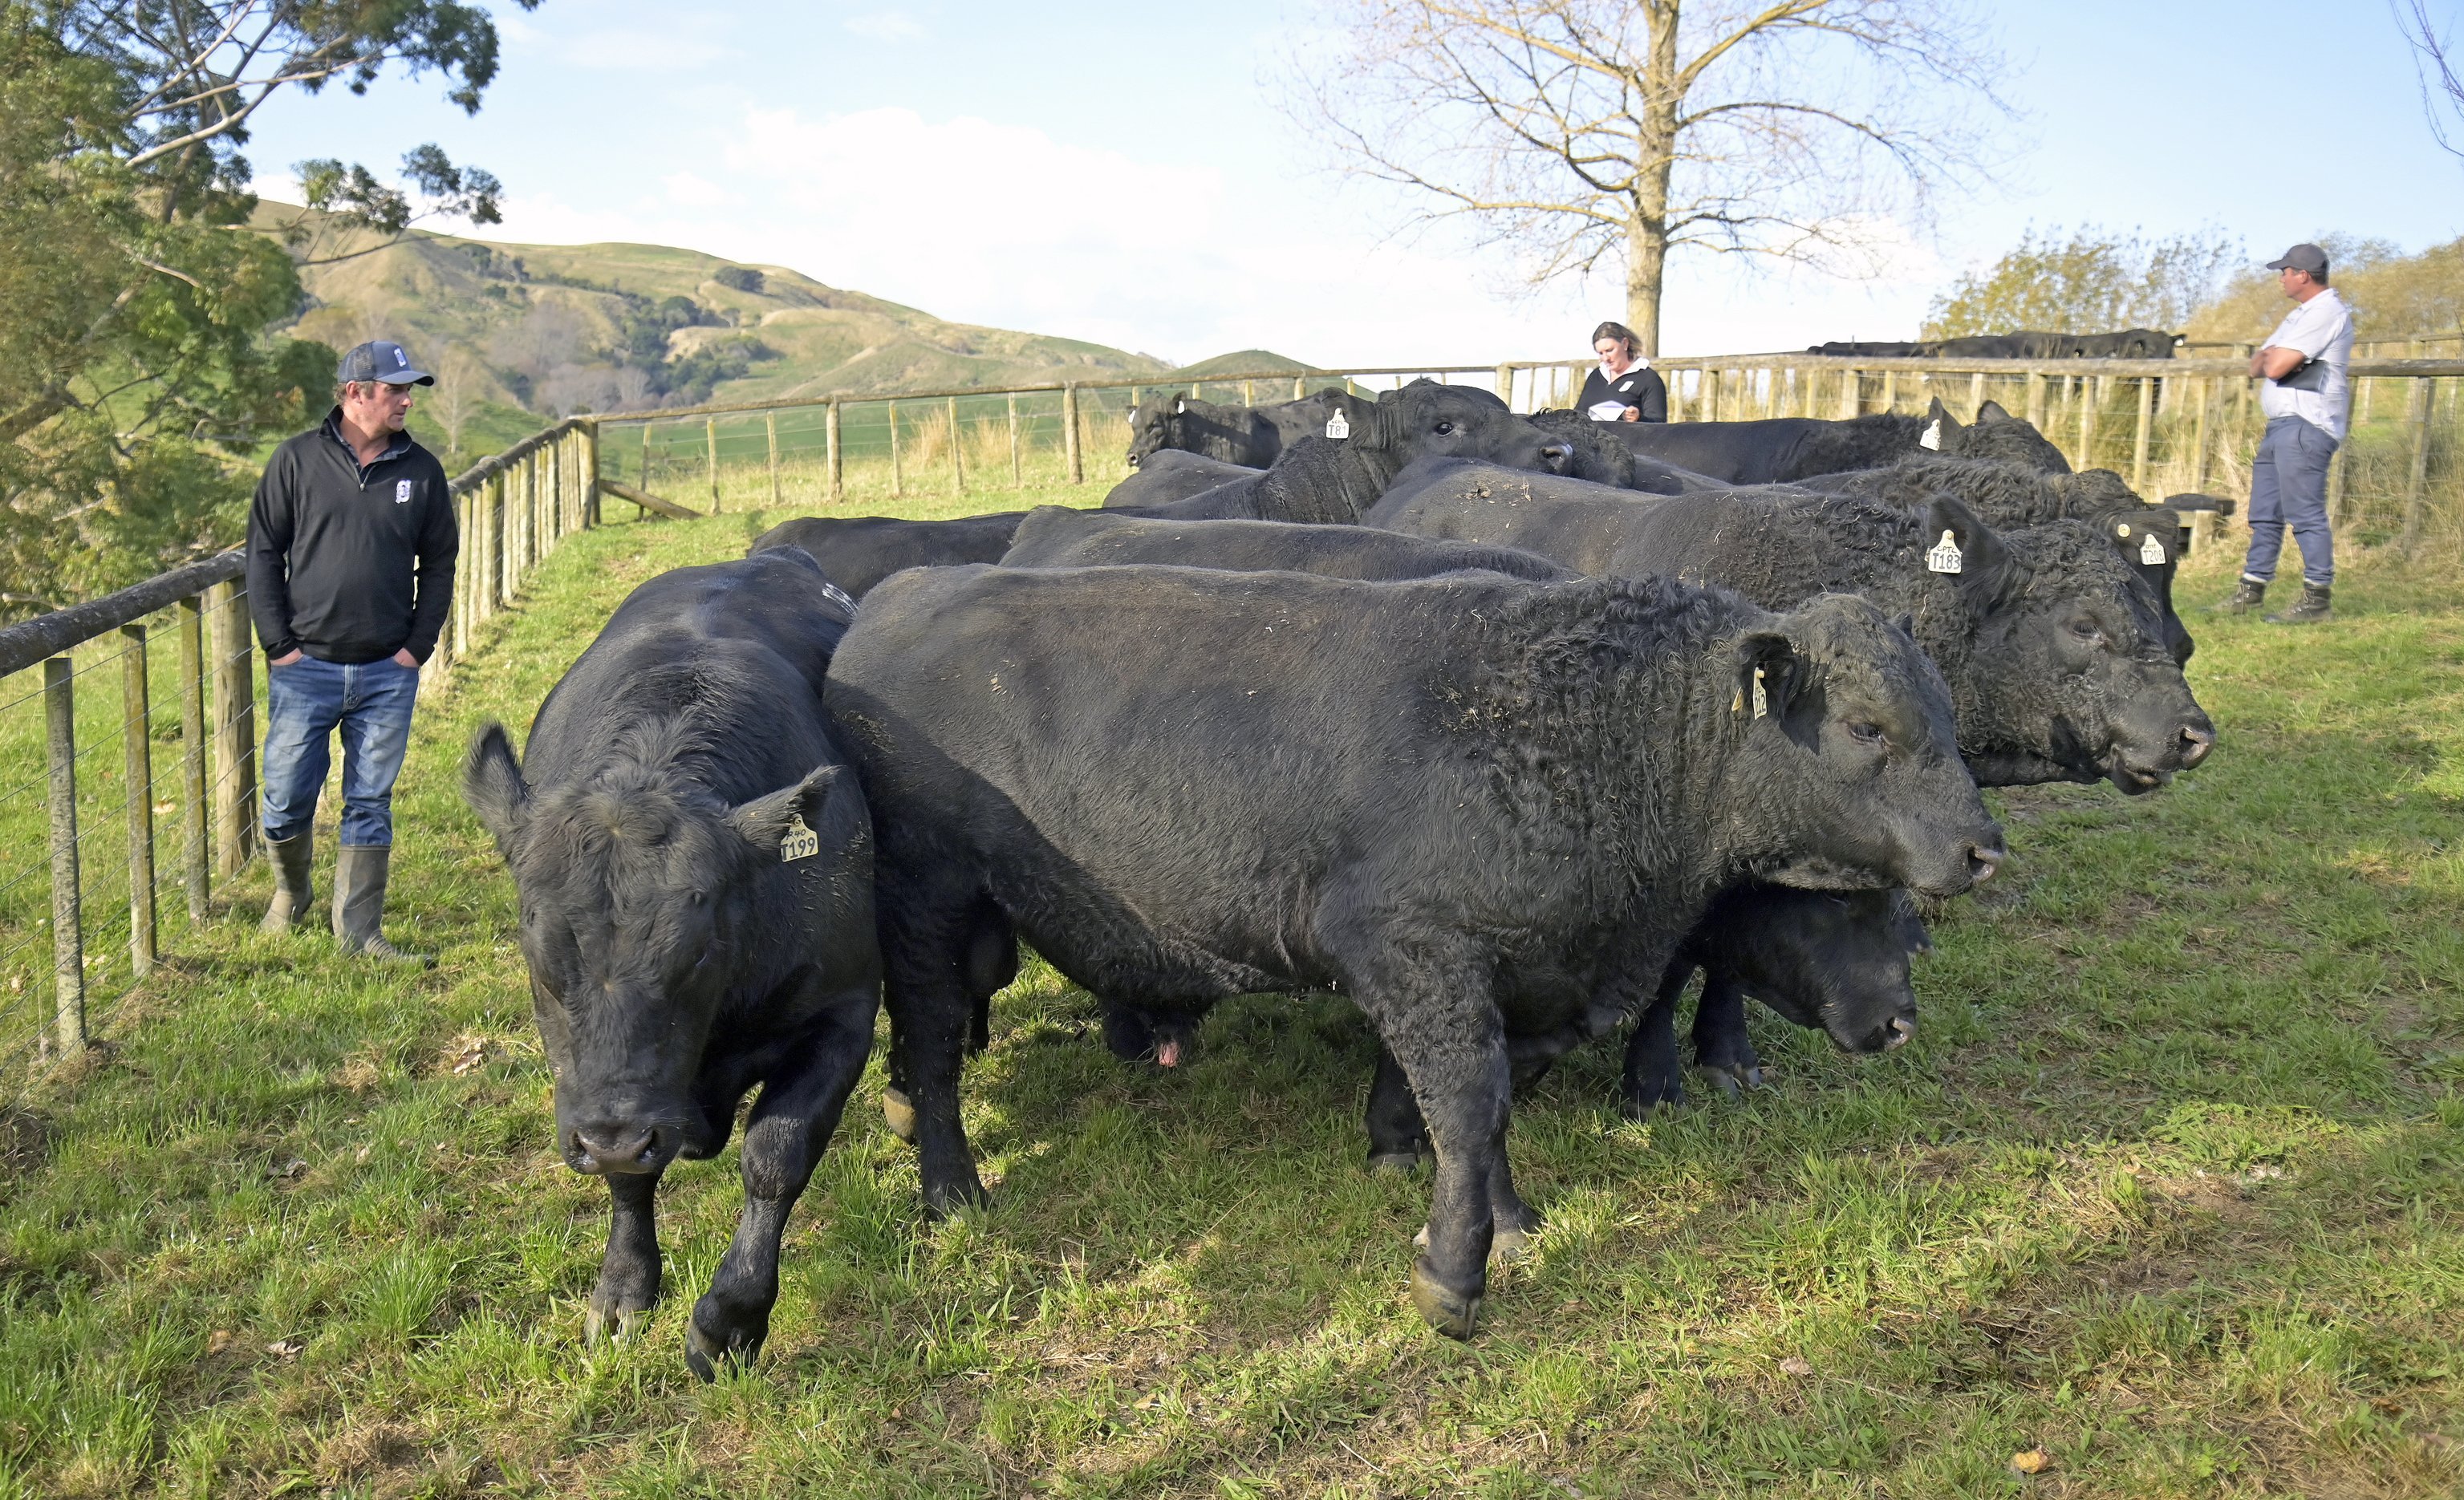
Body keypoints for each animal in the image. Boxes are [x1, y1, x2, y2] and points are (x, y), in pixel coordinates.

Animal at [460, 549, 878, 1380]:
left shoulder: (845, 1006)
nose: (615, 1135)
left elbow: (775, 1155)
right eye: (538, 951)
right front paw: (623, 1287)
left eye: (700, 948)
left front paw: (731, 1319)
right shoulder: (606, 1102)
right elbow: (628, 1180)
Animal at [827, 562, 2004, 1337]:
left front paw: (1496, 1209)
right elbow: (1470, 1102)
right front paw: (1453, 1270)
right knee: (930, 1041)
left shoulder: (1510, 974)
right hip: (926, 900)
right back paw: (949, 1188)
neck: (1581, 732)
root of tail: (892, 594)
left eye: (1946, 713)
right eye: (1866, 726)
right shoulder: (1409, 950)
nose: (1983, 847)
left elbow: (1479, 1107)